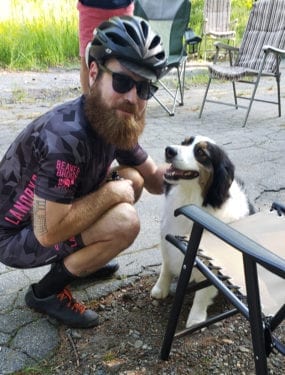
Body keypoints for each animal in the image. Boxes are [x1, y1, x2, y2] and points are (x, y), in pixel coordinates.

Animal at [151, 136, 253, 328]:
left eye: (201, 153)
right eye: (184, 143)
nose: (169, 150)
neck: (191, 198)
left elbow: (203, 290)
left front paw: (196, 319)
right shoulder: (166, 236)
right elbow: (166, 265)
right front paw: (160, 288)